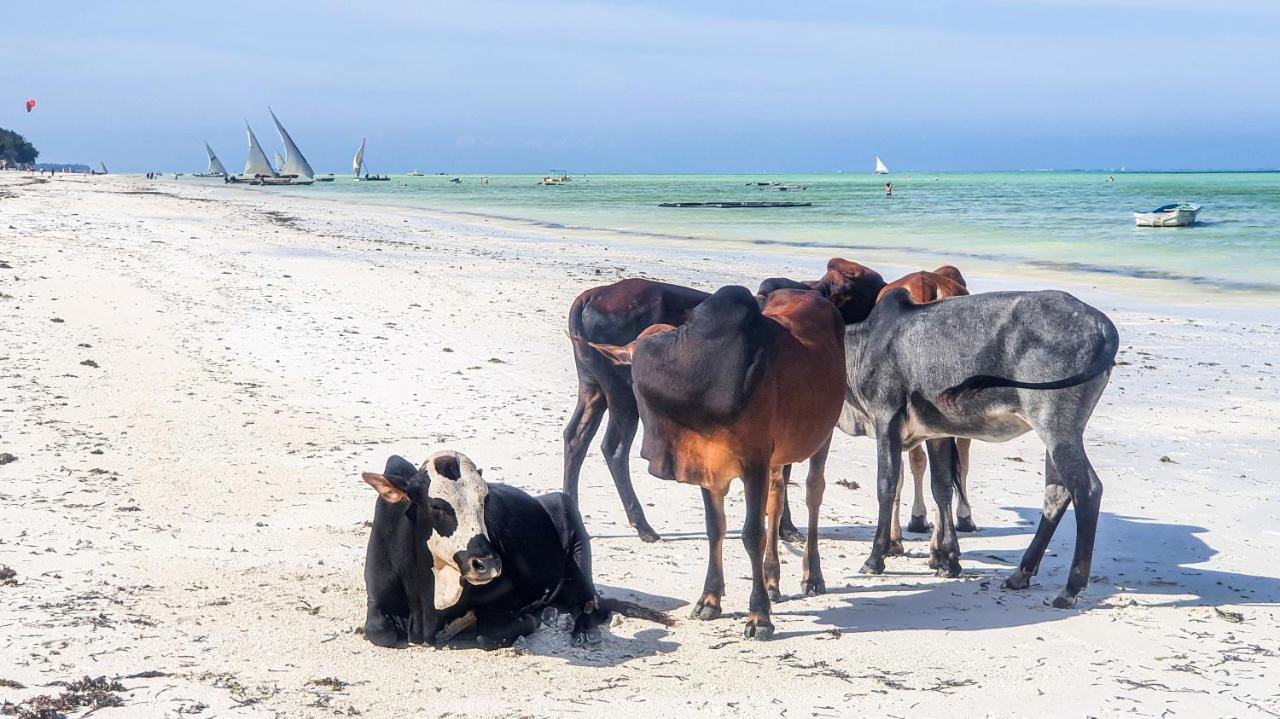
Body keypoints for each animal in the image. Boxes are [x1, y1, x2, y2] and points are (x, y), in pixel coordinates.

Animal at [360, 447, 670, 644]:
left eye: (485, 500)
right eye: (436, 505)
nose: (486, 564)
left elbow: (488, 634)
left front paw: (529, 618)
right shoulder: (376, 598)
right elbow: (378, 632)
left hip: (574, 530)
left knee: (593, 605)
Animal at [588, 285, 849, 637]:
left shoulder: (754, 462)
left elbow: (752, 534)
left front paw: (759, 617)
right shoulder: (708, 468)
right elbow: (716, 529)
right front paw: (710, 600)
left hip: (822, 436)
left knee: (813, 495)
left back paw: (813, 576)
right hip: (778, 455)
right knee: (777, 498)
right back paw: (772, 580)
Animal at [834, 287, 1116, 606]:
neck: (862, 346)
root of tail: (1103, 326)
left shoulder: (887, 420)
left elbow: (887, 486)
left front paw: (875, 558)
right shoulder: (937, 432)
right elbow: (942, 488)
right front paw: (948, 560)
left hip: (1056, 428)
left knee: (1087, 489)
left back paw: (1069, 588)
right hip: (1056, 434)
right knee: (1055, 495)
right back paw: (1020, 574)